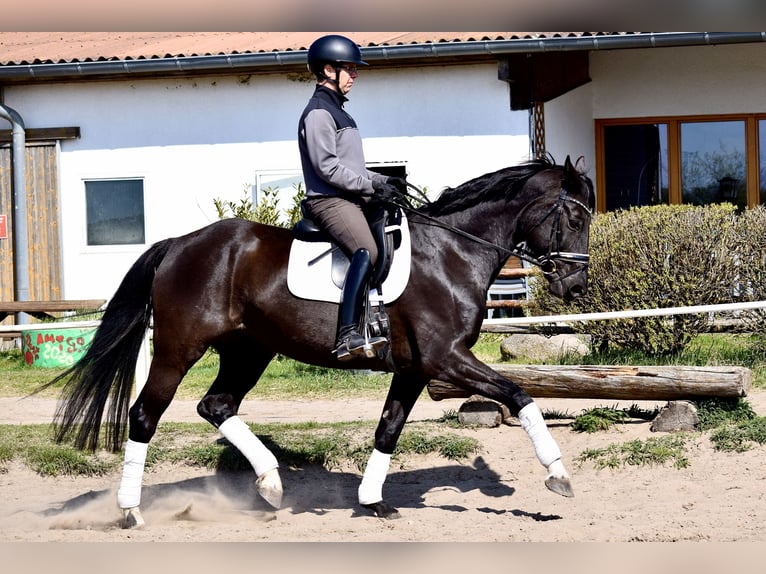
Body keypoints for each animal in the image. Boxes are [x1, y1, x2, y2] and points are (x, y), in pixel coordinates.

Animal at [43, 155, 594, 528]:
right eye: (574, 218)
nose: (575, 288)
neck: (451, 252)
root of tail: (179, 244)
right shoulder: (446, 358)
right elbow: (520, 394)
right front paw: (559, 475)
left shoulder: (415, 369)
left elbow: (387, 431)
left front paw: (374, 501)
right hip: (179, 351)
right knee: (144, 416)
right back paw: (131, 512)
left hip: (250, 350)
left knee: (216, 405)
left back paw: (270, 484)